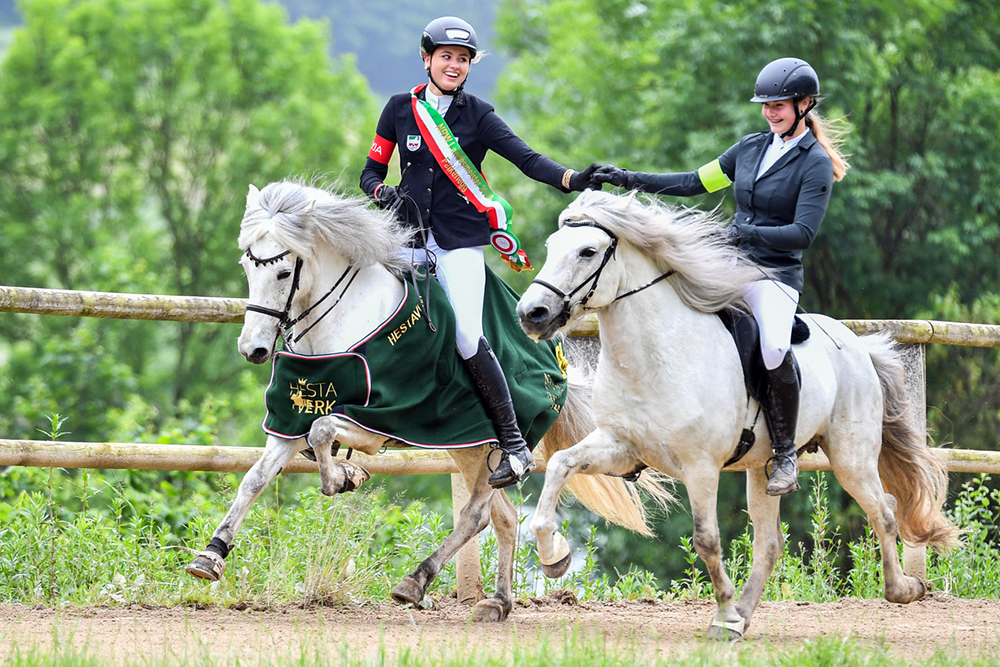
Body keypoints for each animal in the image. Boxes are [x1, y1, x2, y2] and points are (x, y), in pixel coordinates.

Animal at [184, 181, 668, 620]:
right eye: (248, 268)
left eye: (284, 273)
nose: (253, 350)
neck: (341, 322)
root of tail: (557, 363)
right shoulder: (289, 419)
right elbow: (255, 478)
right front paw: (211, 555)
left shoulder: (376, 421)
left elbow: (323, 433)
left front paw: (344, 478)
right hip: (468, 446)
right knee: (503, 516)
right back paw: (499, 600)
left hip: (488, 447)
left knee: (477, 515)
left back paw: (417, 581)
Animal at [516, 189, 960, 640]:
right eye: (551, 247)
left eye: (588, 252)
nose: (531, 314)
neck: (656, 357)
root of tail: (858, 346)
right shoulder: (620, 446)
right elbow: (560, 463)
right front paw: (553, 555)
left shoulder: (700, 467)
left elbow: (706, 540)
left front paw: (724, 612)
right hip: (762, 470)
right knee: (770, 544)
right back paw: (744, 616)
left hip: (851, 459)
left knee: (884, 511)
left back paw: (903, 589)